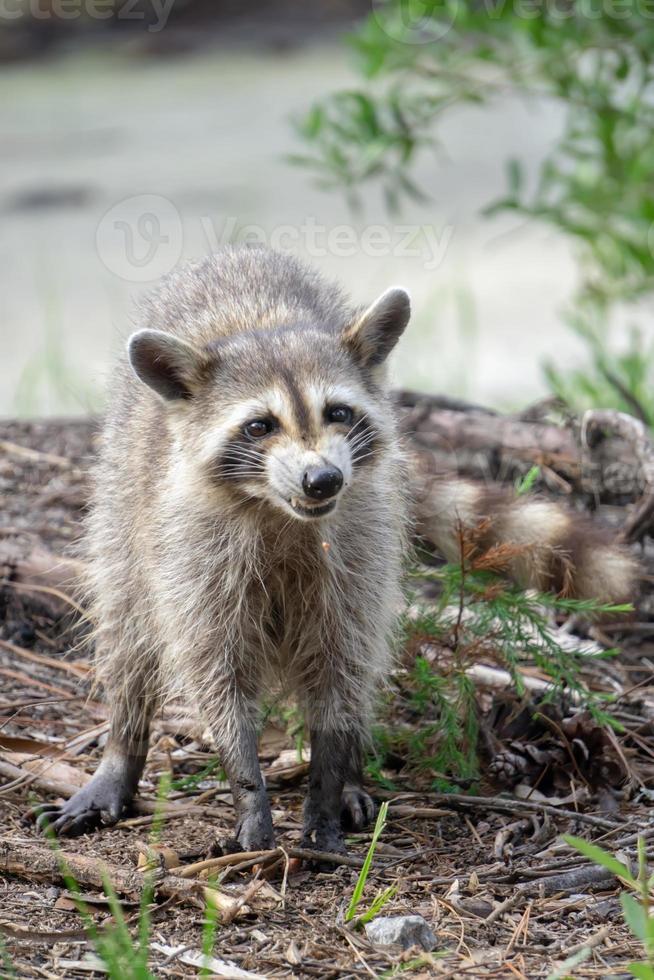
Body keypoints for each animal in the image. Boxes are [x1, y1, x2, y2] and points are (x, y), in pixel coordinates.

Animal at [34, 249, 640, 852]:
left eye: (339, 413)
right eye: (259, 426)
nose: (323, 479)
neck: (281, 513)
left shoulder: (359, 544)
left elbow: (342, 667)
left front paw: (327, 780)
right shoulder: (192, 550)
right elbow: (215, 670)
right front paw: (246, 783)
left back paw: (349, 774)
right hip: (122, 502)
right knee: (127, 627)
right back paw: (124, 743)